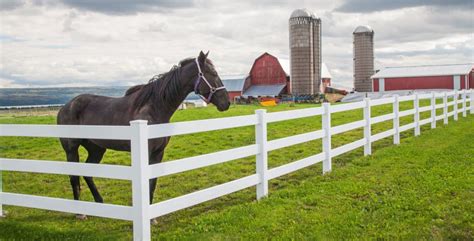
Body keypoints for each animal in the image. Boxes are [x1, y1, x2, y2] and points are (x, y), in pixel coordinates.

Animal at [56, 51, 231, 220]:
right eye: (213, 73)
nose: (226, 102)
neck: (154, 108)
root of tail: (65, 107)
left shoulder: (158, 153)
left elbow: (152, 182)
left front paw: (152, 217)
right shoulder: (146, 152)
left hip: (96, 149)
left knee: (87, 172)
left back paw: (99, 202)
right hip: (71, 149)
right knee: (74, 177)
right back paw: (80, 213)